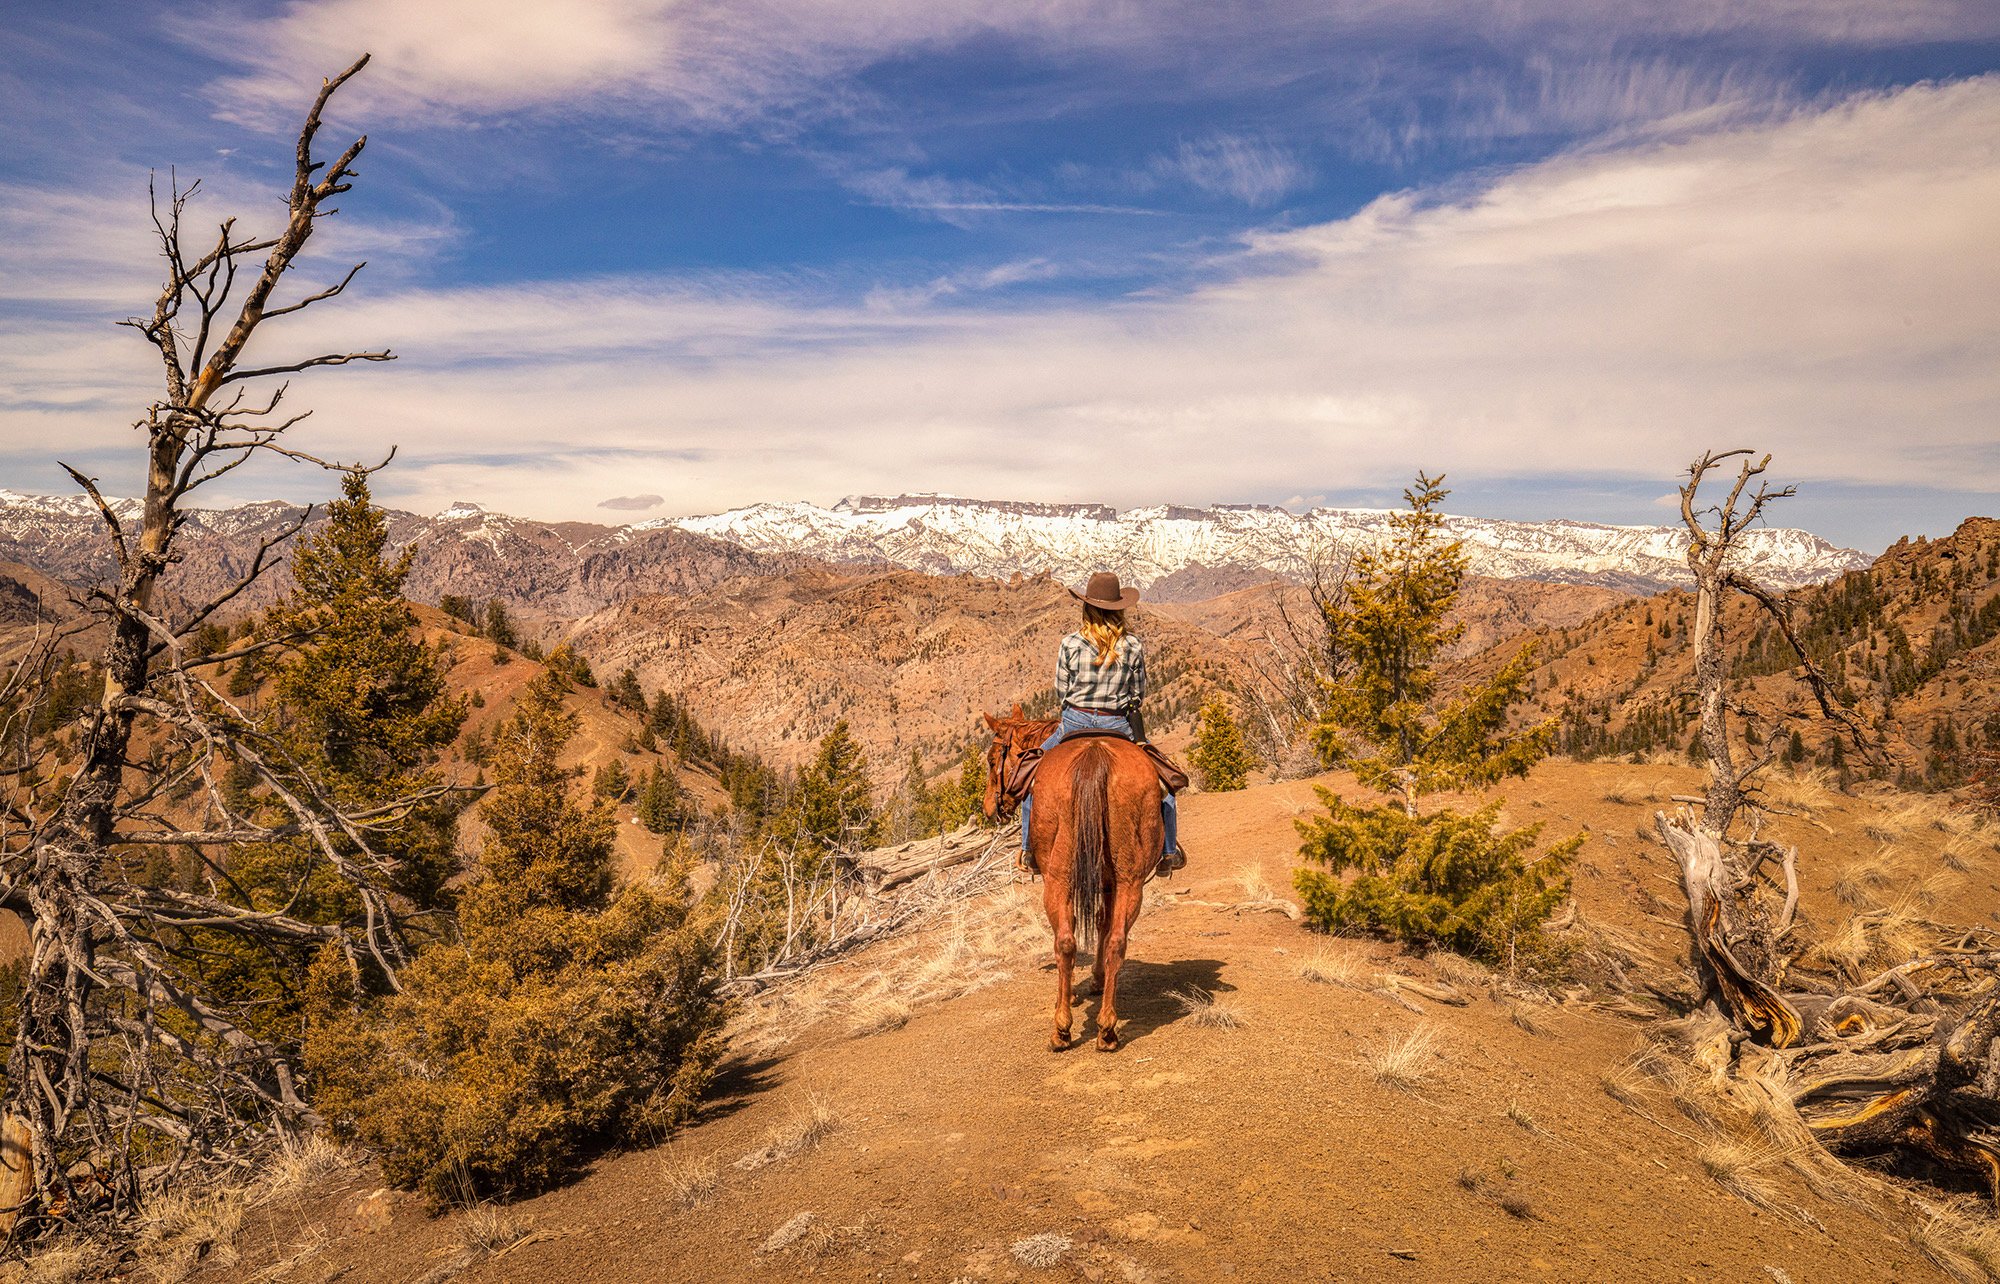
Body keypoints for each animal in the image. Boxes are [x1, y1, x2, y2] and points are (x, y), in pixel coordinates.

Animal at [980, 704, 1168, 1048]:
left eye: (991, 759)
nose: (989, 808)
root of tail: (1094, 755)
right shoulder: (1108, 883)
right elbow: (1103, 925)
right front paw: (1097, 979)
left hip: (1058, 880)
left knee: (1065, 941)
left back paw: (1061, 1029)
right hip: (1129, 881)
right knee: (1116, 941)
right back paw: (1106, 1029)